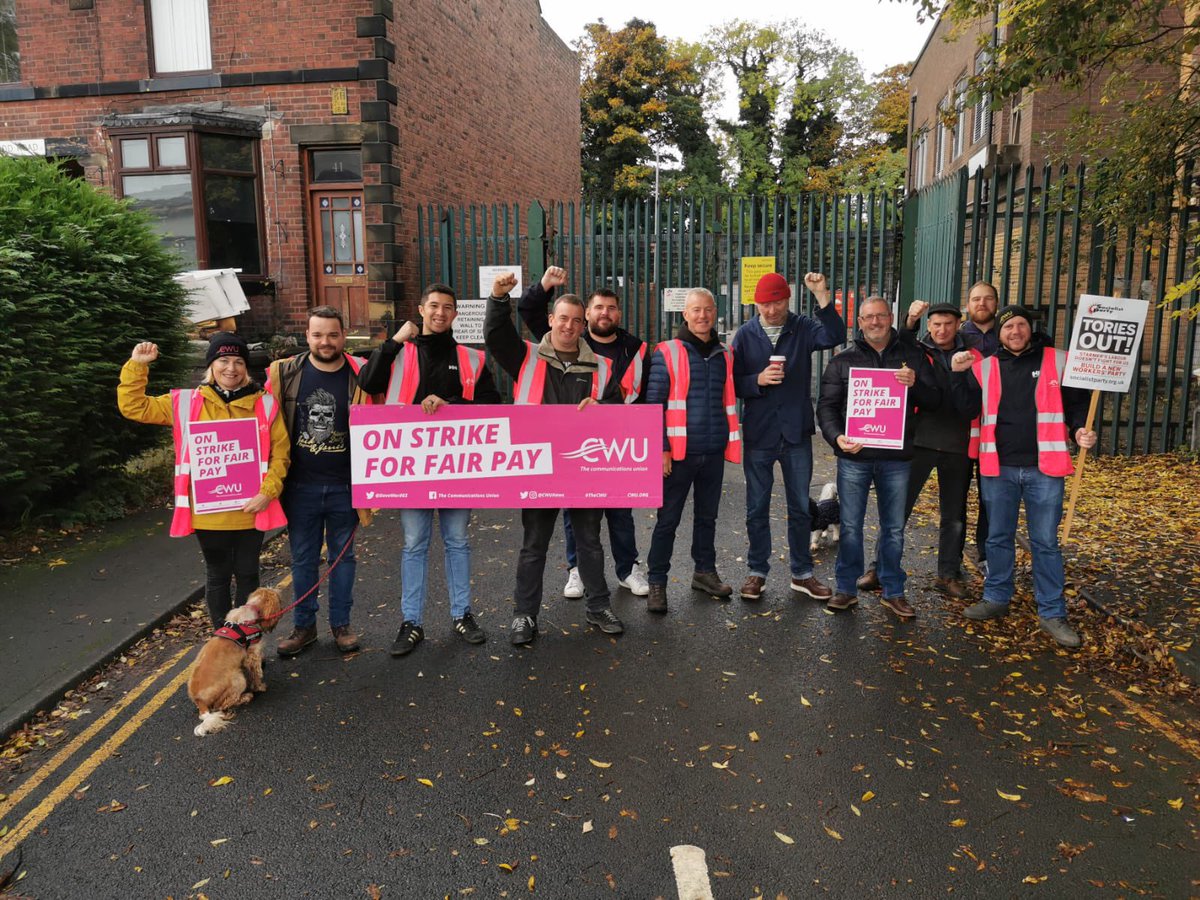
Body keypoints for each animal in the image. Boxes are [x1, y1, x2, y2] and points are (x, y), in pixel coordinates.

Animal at [186, 588, 282, 734]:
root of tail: (199, 701)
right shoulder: (253, 656)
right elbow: (256, 674)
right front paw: (260, 687)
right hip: (237, 678)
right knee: (222, 704)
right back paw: (246, 697)